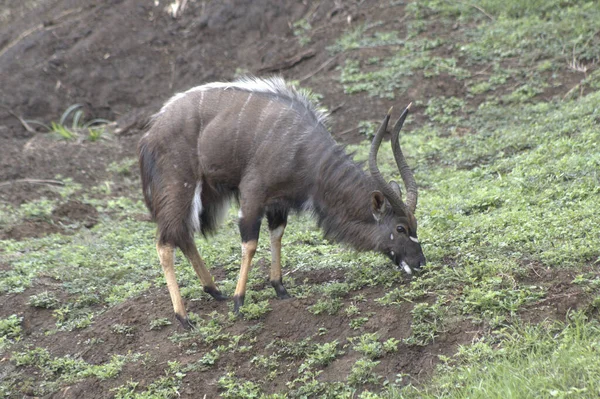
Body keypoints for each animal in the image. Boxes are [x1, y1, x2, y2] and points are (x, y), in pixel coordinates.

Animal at [138, 76, 424, 328]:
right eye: (400, 228)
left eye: (415, 225)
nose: (420, 263)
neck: (306, 155)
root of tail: (152, 131)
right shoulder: (252, 193)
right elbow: (250, 244)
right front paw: (239, 302)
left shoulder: (278, 204)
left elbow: (276, 236)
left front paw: (280, 288)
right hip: (180, 184)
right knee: (165, 242)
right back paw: (183, 317)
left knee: (182, 234)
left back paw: (214, 290)